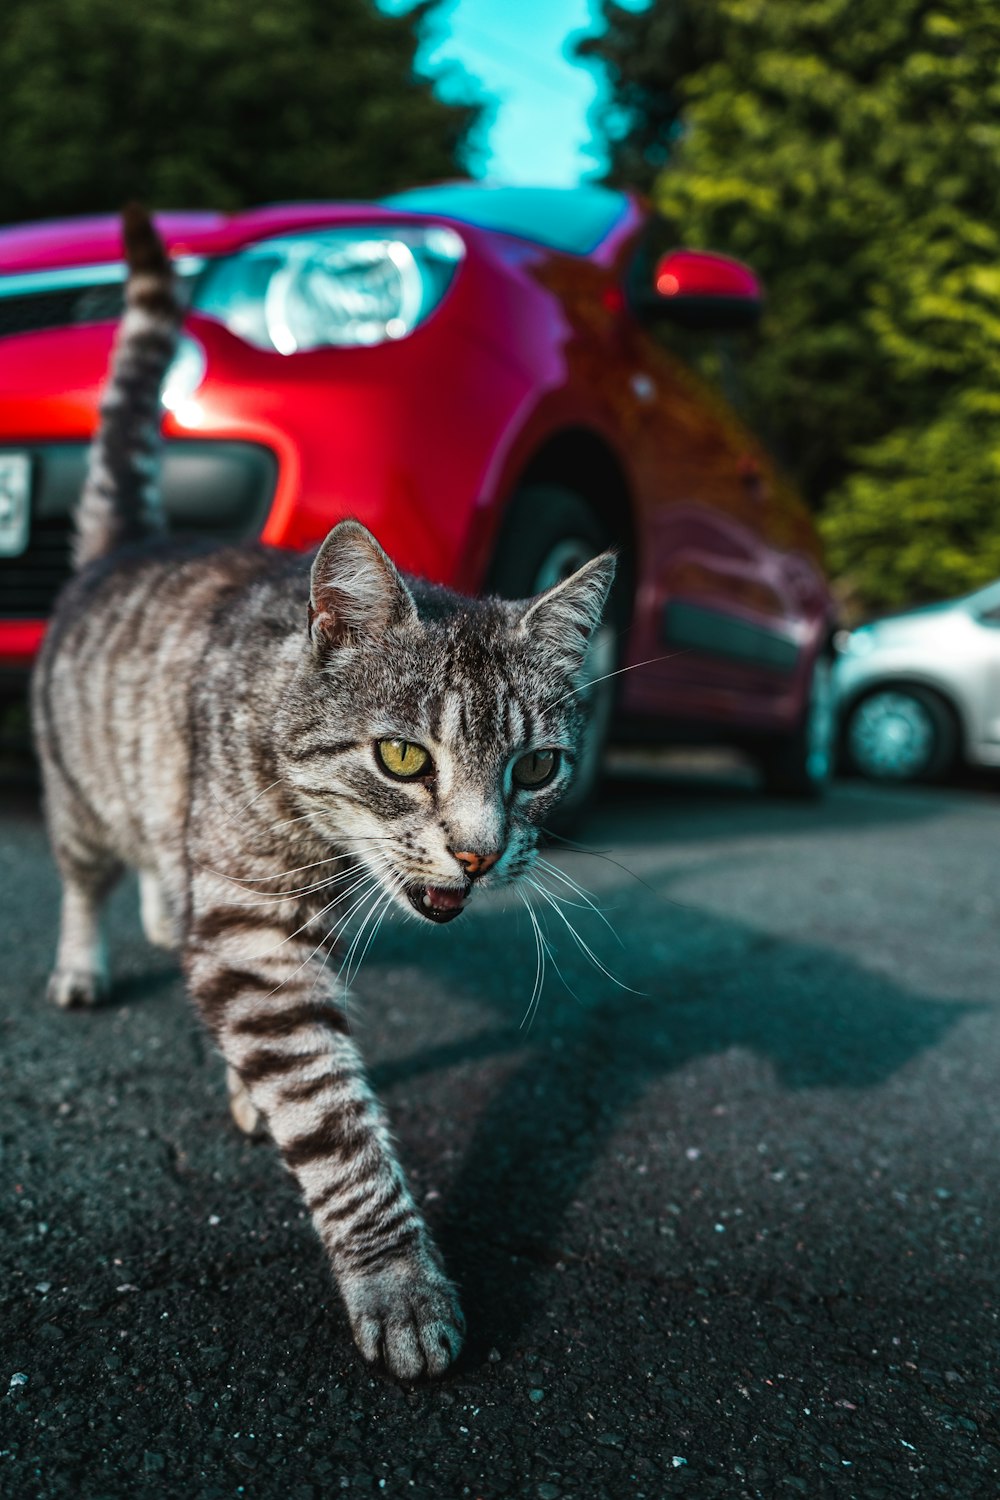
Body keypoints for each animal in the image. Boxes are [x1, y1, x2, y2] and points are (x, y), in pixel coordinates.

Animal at [33, 208, 617, 1380]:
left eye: (535, 769)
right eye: (403, 759)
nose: (481, 852)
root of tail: (127, 545)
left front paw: (254, 1090)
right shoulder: (255, 936)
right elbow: (338, 1125)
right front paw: (397, 1283)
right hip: (77, 797)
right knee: (83, 882)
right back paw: (84, 961)